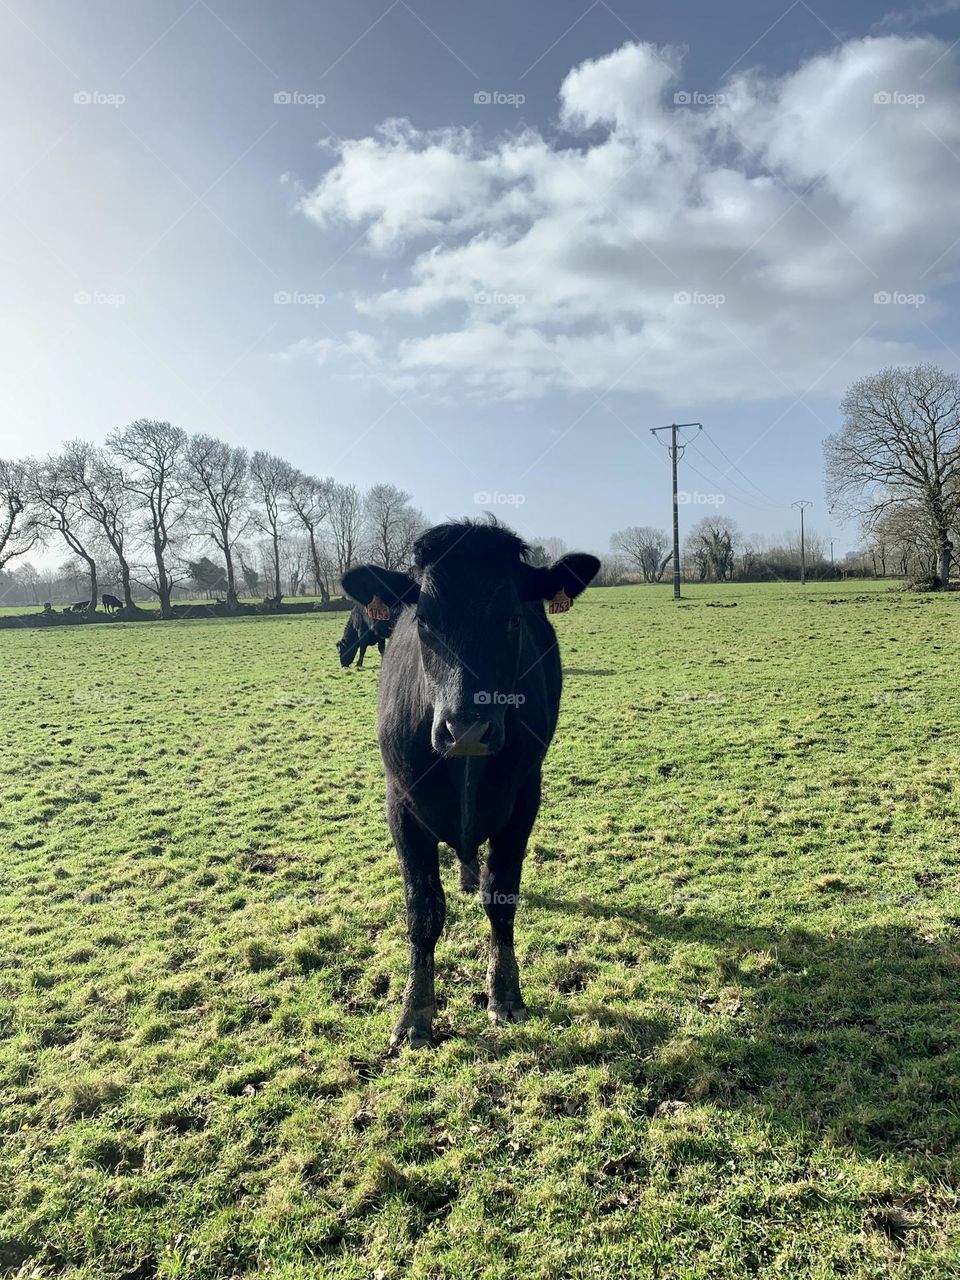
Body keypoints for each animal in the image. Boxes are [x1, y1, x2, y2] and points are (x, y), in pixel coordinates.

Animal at [342, 519, 599, 1048]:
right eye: (423, 621)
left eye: (513, 619)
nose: (466, 729)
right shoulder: (400, 804)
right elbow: (422, 910)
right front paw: (415, 1014)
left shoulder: (524, 800)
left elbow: (500, 897)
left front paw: (505, 994)